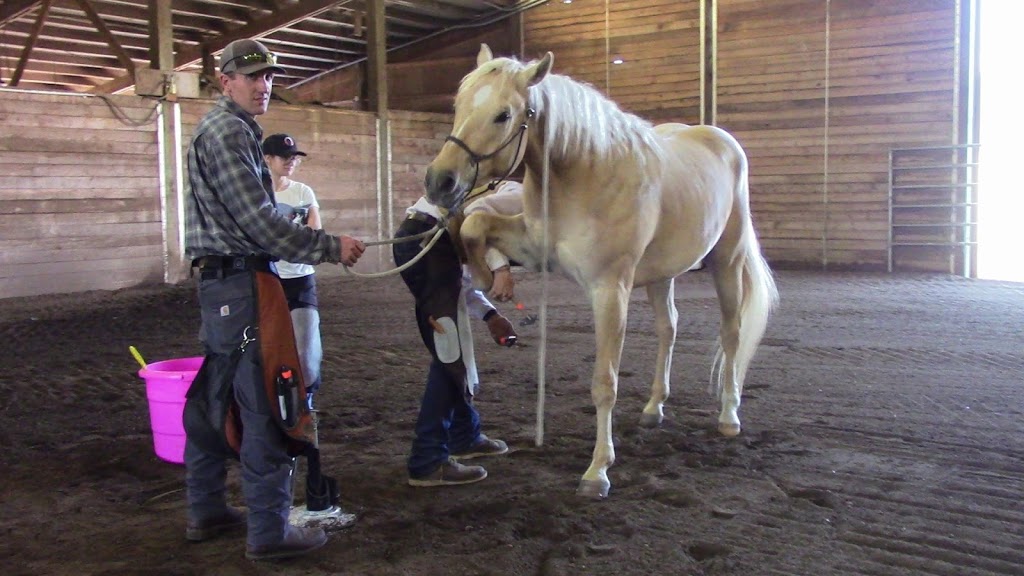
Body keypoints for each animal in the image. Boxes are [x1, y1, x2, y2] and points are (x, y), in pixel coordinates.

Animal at [423, 43, 774, 498]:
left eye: (503, 115)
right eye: (459, 105)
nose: (439, 181)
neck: (584, 174)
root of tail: (720, 139)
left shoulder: (610, 290)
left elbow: (604, 383)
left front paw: (598, 471)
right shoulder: (535, 249)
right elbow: (475, 223)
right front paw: (485, 275)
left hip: (726, 262)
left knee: (731, 334)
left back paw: (729, 416)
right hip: (662, 275)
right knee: (669, 329)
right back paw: (654, 408)